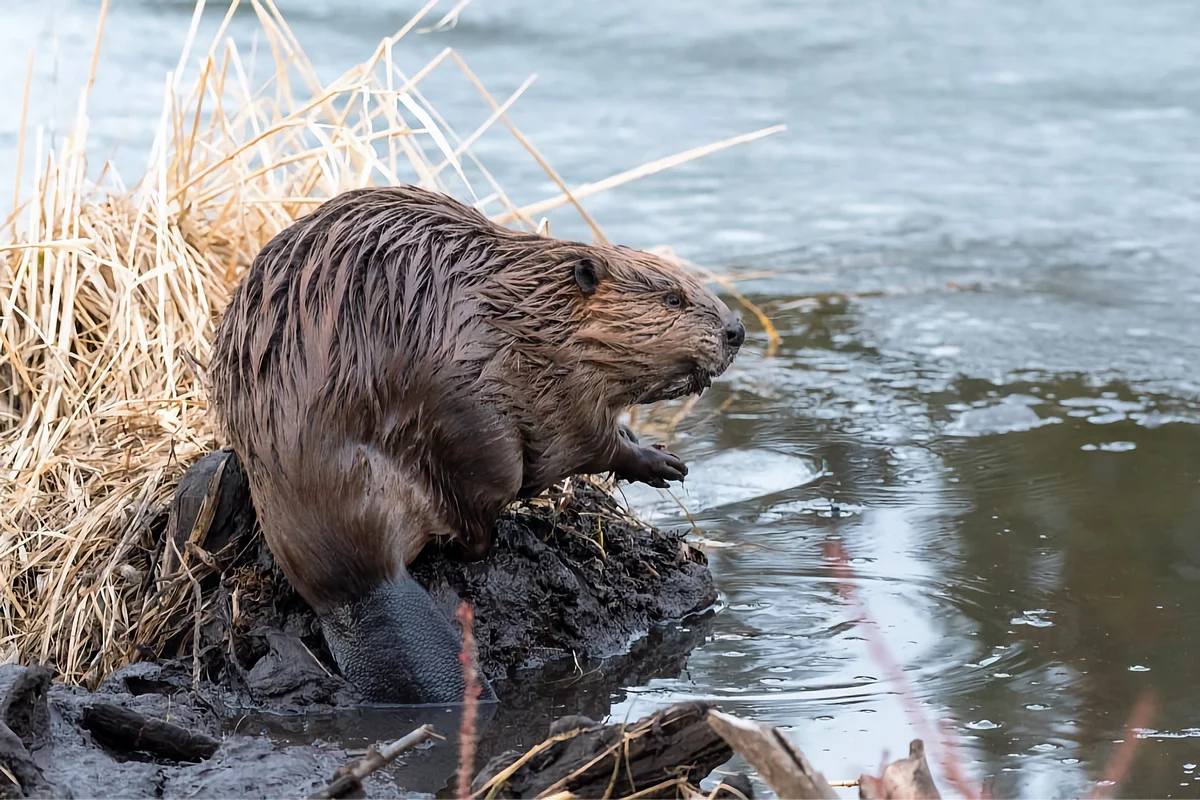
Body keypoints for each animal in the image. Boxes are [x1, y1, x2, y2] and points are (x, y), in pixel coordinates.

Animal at [211, 184, 744, 705]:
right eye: (672, 298)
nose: (736, 330)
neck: (533, 309)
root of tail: (360, 587)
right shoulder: (558, 389)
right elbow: (584, 442)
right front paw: (662, 462)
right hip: (475, 433)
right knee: (475, 527)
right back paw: (516, 533)